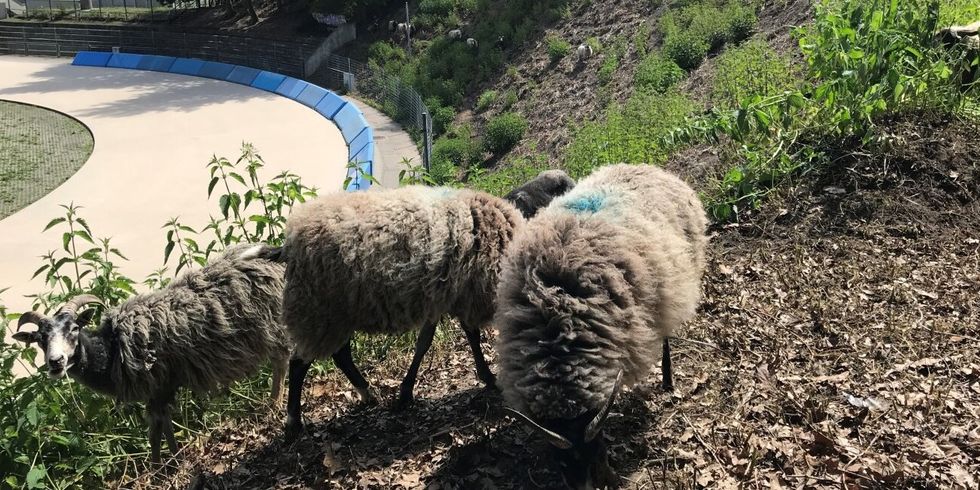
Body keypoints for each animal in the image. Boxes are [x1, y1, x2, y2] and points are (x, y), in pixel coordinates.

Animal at [13, 245, 290, 464]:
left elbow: (155, 431)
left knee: (281, 361)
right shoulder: (158, 390)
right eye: (40, 339)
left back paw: (275, 403)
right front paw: (172, 458)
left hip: (273, 325)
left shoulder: (160, 383)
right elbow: (162, 425)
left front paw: (159, 466)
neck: (110, 350)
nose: (56, 362)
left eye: (73, 329)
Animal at [253, 184, 540, 440]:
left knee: (340, 355)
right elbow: (469, 336)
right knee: (299, 363)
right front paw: (487, 376)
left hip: (336, 313)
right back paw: (294, 421)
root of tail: (288, 245)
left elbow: (428, 342)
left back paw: (367, 394)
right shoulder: (467, 295)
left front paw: (406, 391)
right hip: (317, 310)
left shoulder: (442, 298)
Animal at [494, 165, 708, 490]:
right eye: (559, 461)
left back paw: (668, 379)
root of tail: (644, 167)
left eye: (598, 451)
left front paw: (611, 478)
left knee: (665, 334)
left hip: (668, 288)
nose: (583, 487)